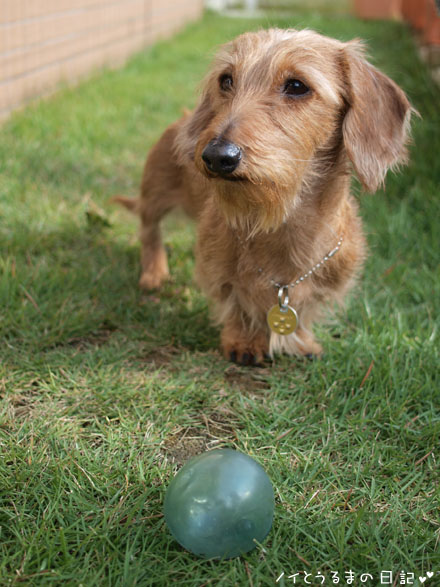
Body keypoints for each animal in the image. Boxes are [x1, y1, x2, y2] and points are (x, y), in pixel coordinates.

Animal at [116, 31, 412, 368]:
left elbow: (305, 309)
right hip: (155, 193)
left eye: (296, 85)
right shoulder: (218, 270)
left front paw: (302, 340)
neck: (280, 222)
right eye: (226, 80)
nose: (216, 156)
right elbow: (235, 302)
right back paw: (154, 272)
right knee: (149, 229)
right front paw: (244, 341)